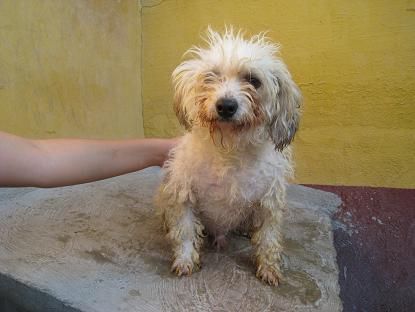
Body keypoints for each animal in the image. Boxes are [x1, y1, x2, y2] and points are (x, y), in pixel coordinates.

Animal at [156, 27, 302, 286]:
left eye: (253, 80)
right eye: (210, 77)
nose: (226, 105)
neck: (230, 150)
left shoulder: (269, 202)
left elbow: (268, 239)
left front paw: (269, 268)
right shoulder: (183, 195)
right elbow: (185, 232)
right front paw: (185, 261)